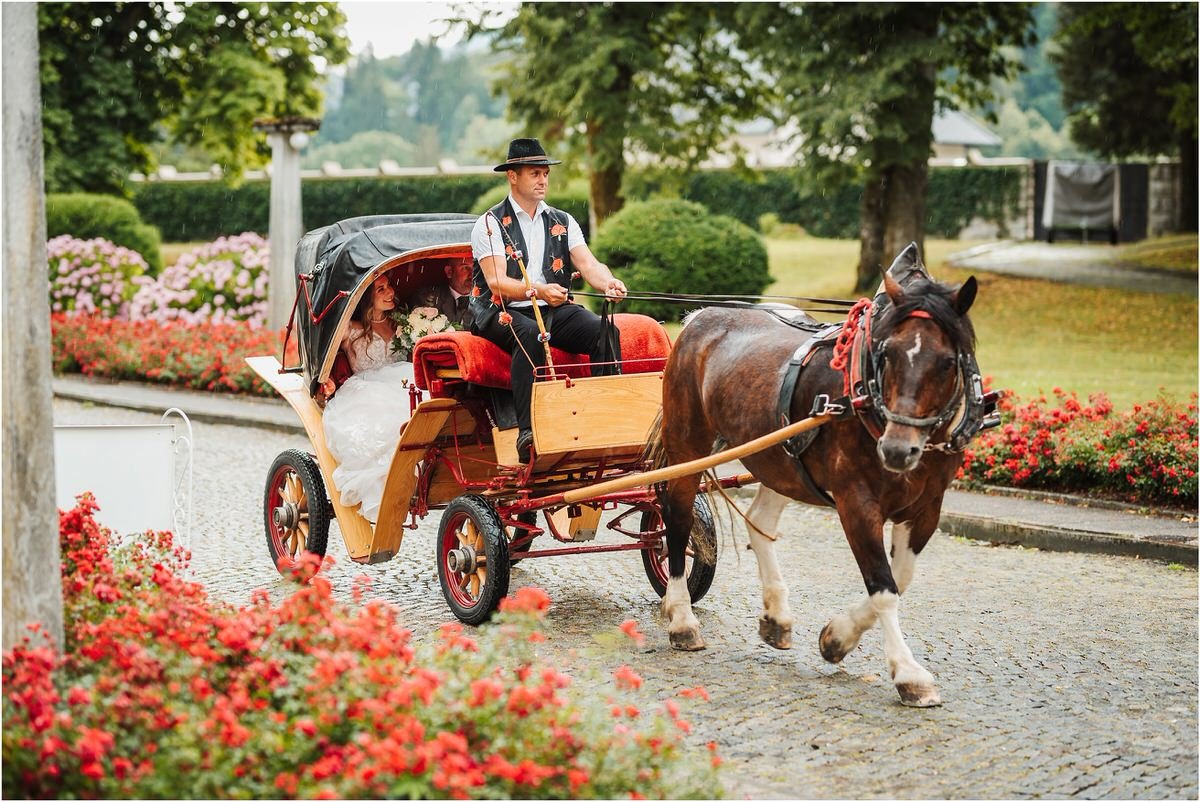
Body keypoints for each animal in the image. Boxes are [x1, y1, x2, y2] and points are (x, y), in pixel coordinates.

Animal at [657, 244, 984, 705]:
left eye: (946, 362)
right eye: (887, 354)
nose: (897, 449)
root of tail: (699, 317)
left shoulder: (926, 507)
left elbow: (900, 578)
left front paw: (838, 637)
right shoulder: (856, 503)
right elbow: (883, 587)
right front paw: (907, 673)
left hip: (778, 455)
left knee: (759, 521)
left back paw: (775, 615)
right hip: (687, 445)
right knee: (678, 519)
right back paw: (682, 617)